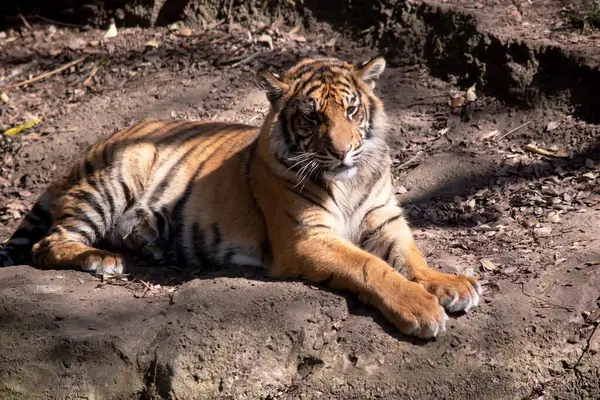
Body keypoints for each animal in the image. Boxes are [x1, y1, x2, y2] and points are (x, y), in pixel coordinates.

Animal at [0, 55, 478, 338]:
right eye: (311, 118)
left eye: (351, 110)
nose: (343, 152)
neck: (350, 180)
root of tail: (87, 150)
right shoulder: (306, 238)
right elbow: (370, 267)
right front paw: (421, 309)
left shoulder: (384, 218)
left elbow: (411, 257)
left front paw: (449, 284)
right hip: (114, 179)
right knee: (47, 244)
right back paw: (101, 259)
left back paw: (148, 243)